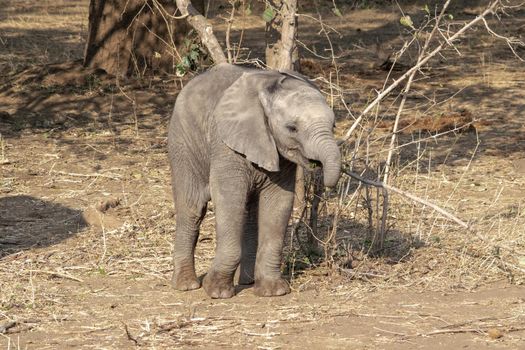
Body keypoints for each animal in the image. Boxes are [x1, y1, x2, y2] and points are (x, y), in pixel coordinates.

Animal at [168, 63, 340, 298]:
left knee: (249, 215)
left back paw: (247, 281)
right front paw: (217, 292)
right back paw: (186, 285)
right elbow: (228, 198)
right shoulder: (225, 144)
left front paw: (273, 291)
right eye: (292, 128)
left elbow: (278, 203)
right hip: (183, 142)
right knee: (192, 207)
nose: (317, 165)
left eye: (333, 126)